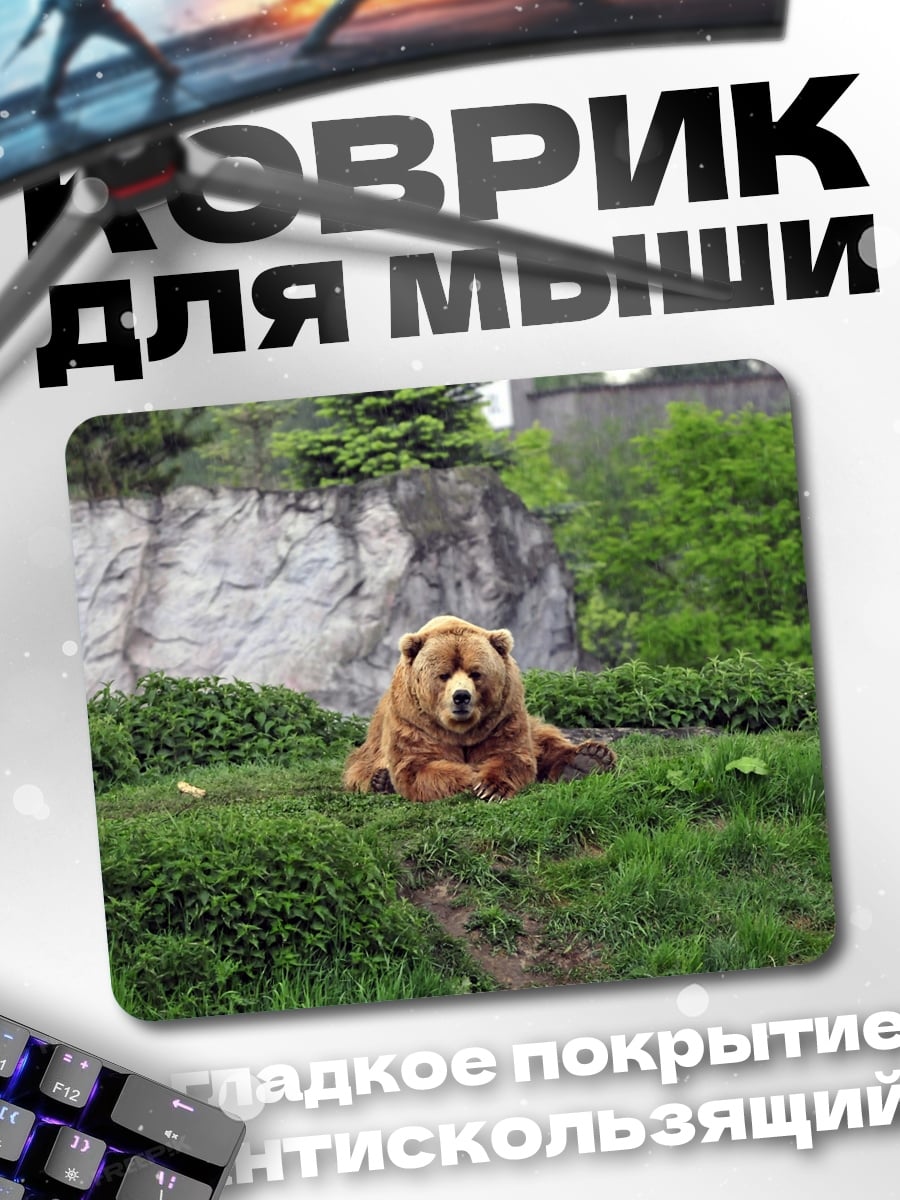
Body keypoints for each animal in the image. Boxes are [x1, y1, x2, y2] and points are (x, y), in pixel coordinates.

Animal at [343, 615, 616, 802]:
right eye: (443, 675)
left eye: (476, 673)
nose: (461, 697)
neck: (461, 730)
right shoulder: (414, 723)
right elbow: (420, 766)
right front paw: (471, 776)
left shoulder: (503, 717)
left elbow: (512, 755)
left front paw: (491, 786)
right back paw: (381, 781)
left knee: (546, 740)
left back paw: (589, 759)